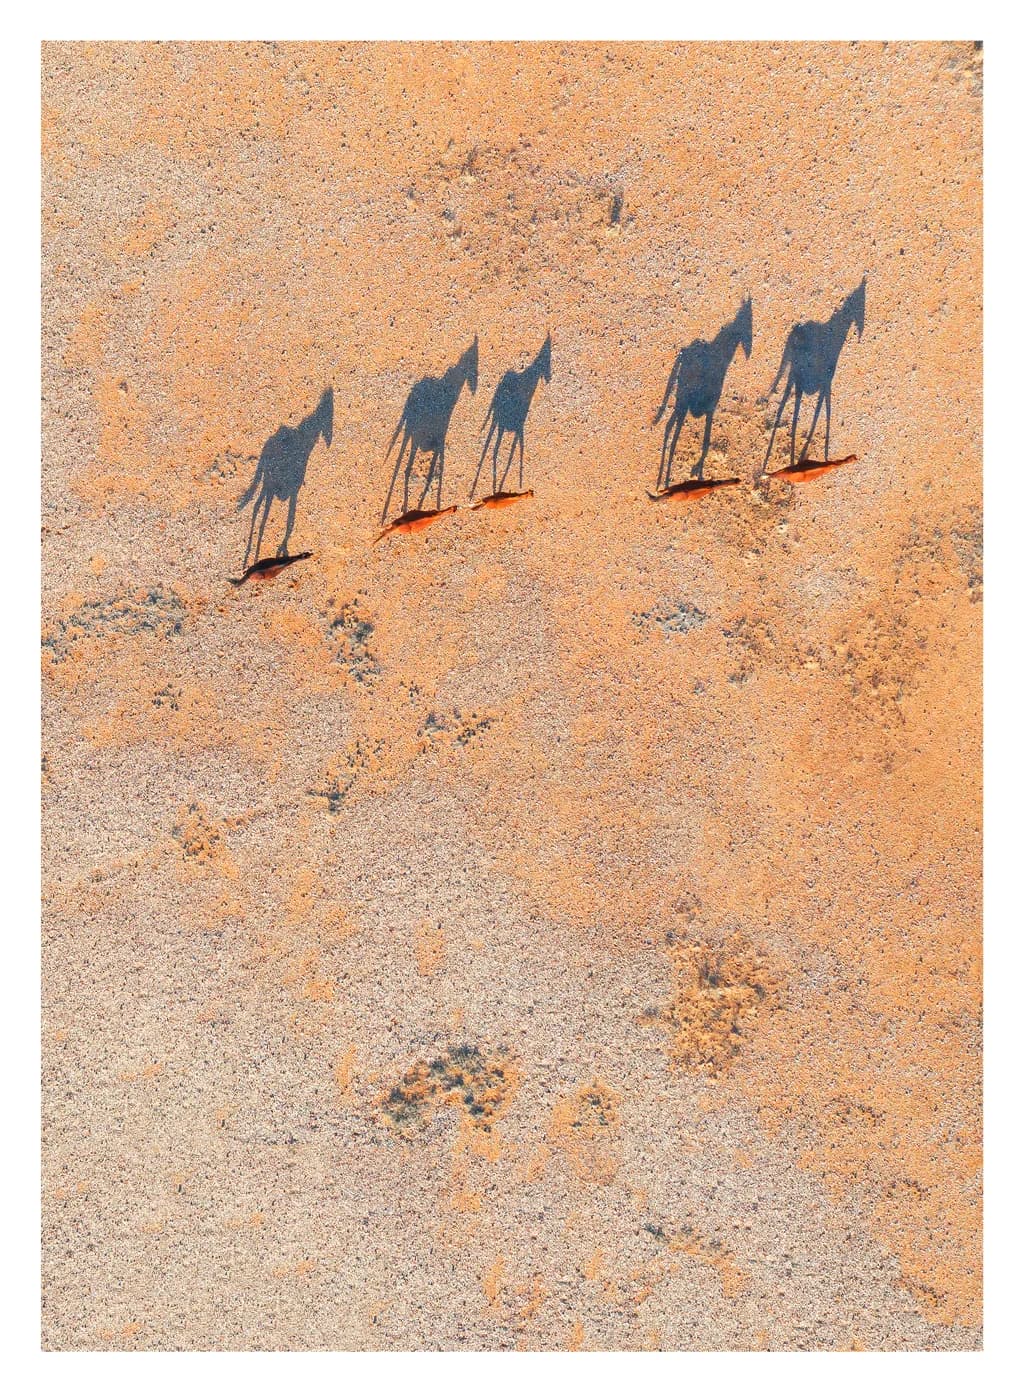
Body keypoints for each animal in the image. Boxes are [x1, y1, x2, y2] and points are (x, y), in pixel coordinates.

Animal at [237, 387, 333, 568]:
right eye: (329, 418)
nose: (329, 442)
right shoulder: (293, 490)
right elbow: (290, 522)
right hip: (268, 485)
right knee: (259, 513)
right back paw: (250, 559)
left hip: (266, 486)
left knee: (256, 507)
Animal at [381, 338, 479, 522]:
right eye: (474, 366)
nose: (474, 390)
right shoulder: (439, 443)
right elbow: (434, 473)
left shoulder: (439, 444)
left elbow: (436, 473)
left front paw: (437, 509)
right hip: (410, 434)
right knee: (402, 467)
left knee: (404, 468)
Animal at [470, 334, 552, 499]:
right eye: (548, 361)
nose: (549, 378)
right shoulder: (518, 429)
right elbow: (514, 454)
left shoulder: (519, 430)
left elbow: (516, 453)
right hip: (497, 423)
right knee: (491, 450)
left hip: (498, 424)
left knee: (492, 450)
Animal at [654, 298, 753, 489]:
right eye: (749, 325)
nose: (749, 353)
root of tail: (684, 354)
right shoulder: (710, 408)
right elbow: (706, 442)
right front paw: (700, 476)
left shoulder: (708, 409)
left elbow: (706, 442)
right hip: (683, 402)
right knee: (673, 433)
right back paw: (666, 481)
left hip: (680, 402)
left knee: (668, 427)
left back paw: (661, 481)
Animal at [763, 278, 866, 470]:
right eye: (861, 306)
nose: (860, 335)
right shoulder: (826, 386)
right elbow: (823, 415)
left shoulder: (825, 387)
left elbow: (822, 415)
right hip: (796, 382)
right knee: (786, 413)